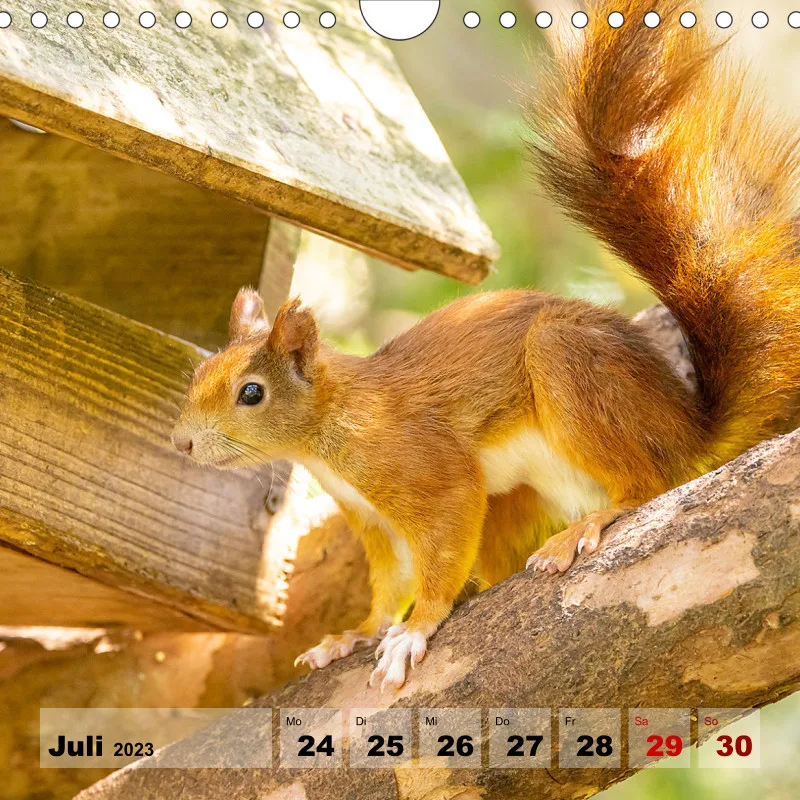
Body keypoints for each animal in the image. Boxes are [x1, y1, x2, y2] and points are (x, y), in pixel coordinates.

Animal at [172, 0, 800, 691]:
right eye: (196, 377)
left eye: (251, 393)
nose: (180, 444)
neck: (329, 429)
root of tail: (690, 430)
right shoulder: (371, 518)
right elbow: (387, 583)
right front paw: (352, 636)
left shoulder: (423, 467)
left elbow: (442, 545)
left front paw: (417, 627)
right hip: (518, 501)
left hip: (569, 367)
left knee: (648, 482)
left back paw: (586, 527)